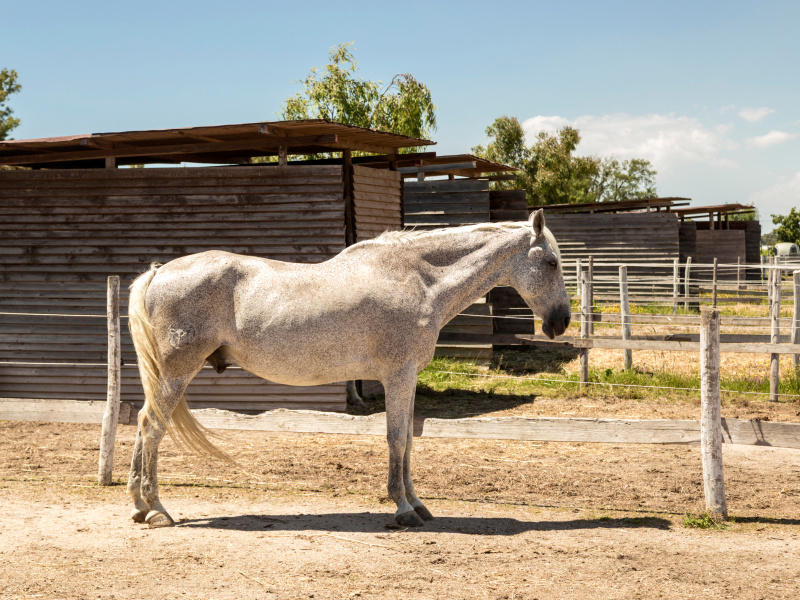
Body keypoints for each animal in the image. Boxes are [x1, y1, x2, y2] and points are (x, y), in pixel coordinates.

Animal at [128, 209, 572, 528]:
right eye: (551, 262)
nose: (561, 322)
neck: (419, 279)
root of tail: (159, 272)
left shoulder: (408, 377)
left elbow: (408, 441)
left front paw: (418, 503)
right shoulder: (398, 375)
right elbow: (396, 439)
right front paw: (403, 509)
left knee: (144, 423)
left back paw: (139, 506)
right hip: (176, 374)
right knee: (152, 426)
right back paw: (156, 509)